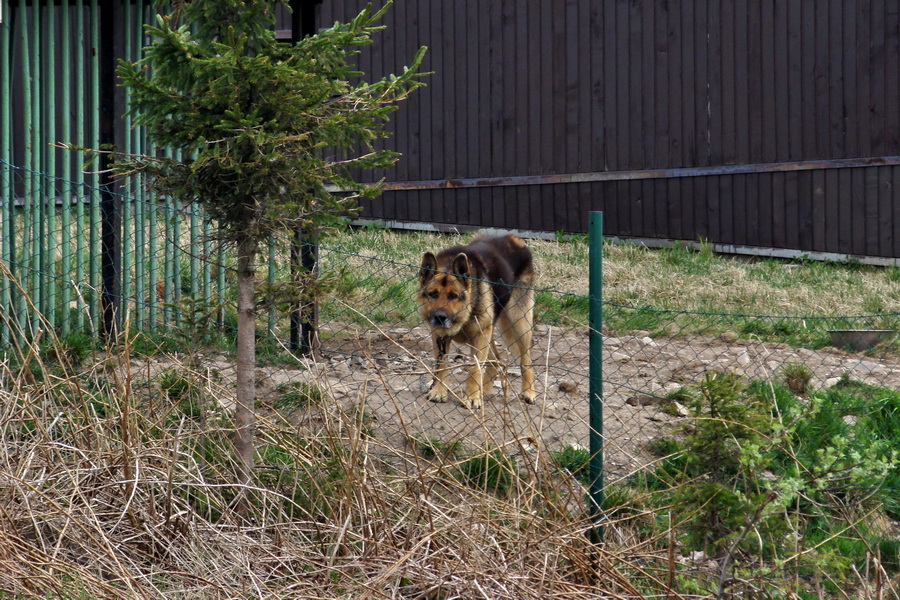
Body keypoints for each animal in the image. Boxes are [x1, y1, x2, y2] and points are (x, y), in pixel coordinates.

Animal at [420, 233, 536, 408]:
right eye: (433, 294)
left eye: (453, 296)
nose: (440, 317)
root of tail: (514, 238)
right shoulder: (439, 337)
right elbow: (442, 365)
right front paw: (438, 391)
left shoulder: (480, 337)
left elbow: (475, 368)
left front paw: (472, 397)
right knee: (496, 360)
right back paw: (484, 390)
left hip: (519, 324)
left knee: (526, 359)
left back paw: (529, 392)